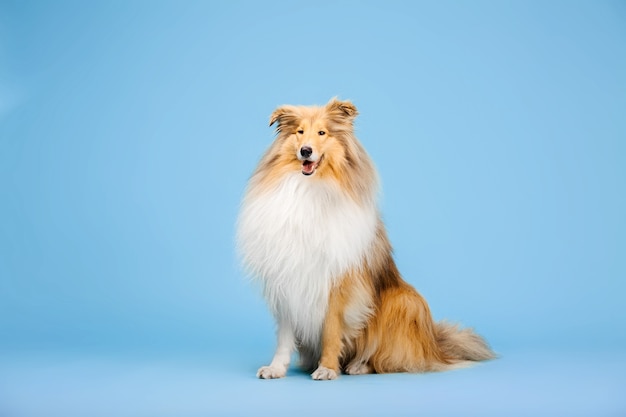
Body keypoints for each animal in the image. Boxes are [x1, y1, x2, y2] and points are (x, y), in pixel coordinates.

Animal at [234, 98, 492, 380]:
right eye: (299, 132)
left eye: (322, 133)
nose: (305, 151)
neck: (310, 190)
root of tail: (435, 346)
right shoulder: (287, 278)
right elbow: (284, 336)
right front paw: (276, 368)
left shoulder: (340, 282)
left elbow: (332, 330)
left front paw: (327, 368)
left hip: (405, 301)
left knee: (387, 356)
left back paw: (359, 365)